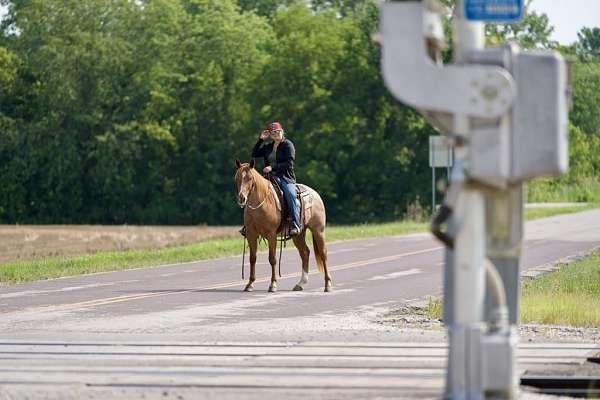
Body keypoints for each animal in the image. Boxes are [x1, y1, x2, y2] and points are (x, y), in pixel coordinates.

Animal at [233, 159, 332, 294]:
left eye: (250, 178)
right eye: (237, 178)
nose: (242, 198)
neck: (260, 204)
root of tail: (315, 194)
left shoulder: (271, 235)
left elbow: (272, 259)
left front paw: (273, 285)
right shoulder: (251, 234)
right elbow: (252, 258)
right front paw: (250, 284)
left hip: (318, 230)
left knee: (323, 254)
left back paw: (327, 284)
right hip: (298, 234)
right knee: (305, 252)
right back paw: (300, 284)